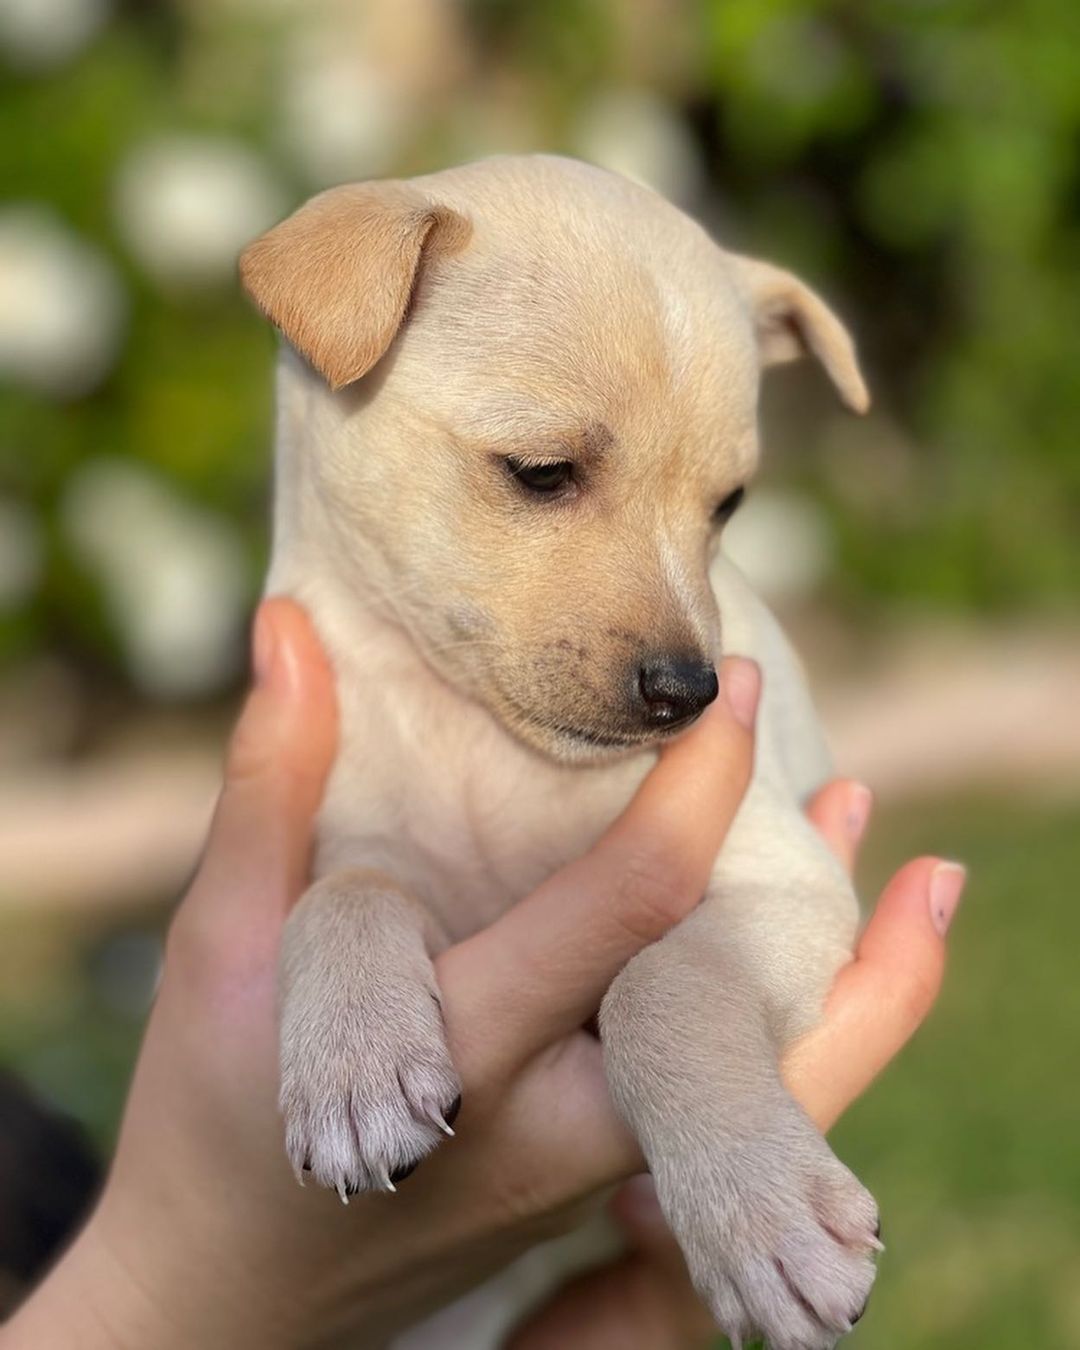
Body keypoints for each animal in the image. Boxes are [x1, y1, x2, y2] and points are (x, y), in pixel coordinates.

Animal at [243, 153, 874, 1344]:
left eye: (729, 506)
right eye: (541, 473)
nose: (691, 694)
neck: (488, 748)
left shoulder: (784, 879)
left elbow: (659, 986)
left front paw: (759, 1212)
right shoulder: (364, 840)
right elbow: (340, 897)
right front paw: (352, 1061)